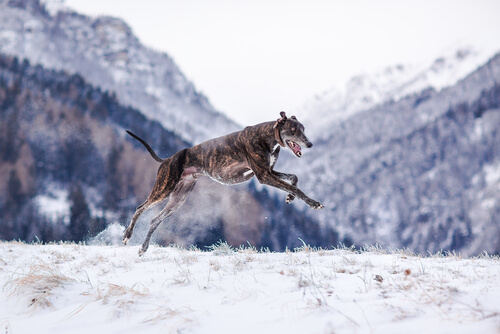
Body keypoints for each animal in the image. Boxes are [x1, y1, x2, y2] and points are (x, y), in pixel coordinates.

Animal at [123, 111, 322, 254]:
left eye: (303, 129)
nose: (310, 144)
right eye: (294, 130)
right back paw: (127, 235)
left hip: (178, 199)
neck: (266, 136)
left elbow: (294, 178)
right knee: (140, 208)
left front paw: (289, 197)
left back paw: (143, 248)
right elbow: (296, 188)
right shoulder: (264, 175)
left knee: (154, 219)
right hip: (164, 187)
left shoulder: (269, 172)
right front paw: (313, 203)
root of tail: (167, 159)